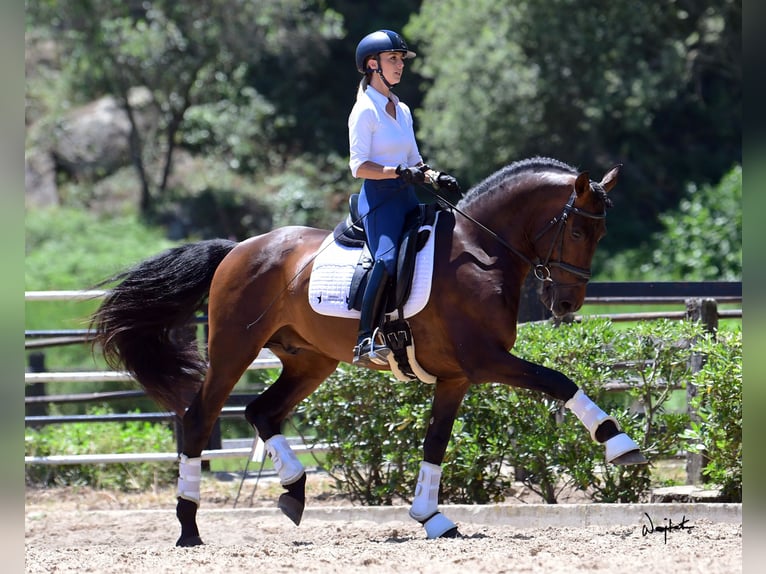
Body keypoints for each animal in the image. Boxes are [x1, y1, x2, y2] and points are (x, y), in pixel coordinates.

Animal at [89, 156, 646, 546]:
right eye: (578, 229)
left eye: (600, 232)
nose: (568, 303)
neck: (480, 253)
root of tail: (239, 248)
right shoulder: (486, 361)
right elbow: (560, 381)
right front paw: (620, 444)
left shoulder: (456, 377)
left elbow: (435, 444)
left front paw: (431, 518)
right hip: (233, 350)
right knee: (199, 416)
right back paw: (188, 526)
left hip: (310, 360)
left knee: (261, 411)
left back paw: (294, 490)